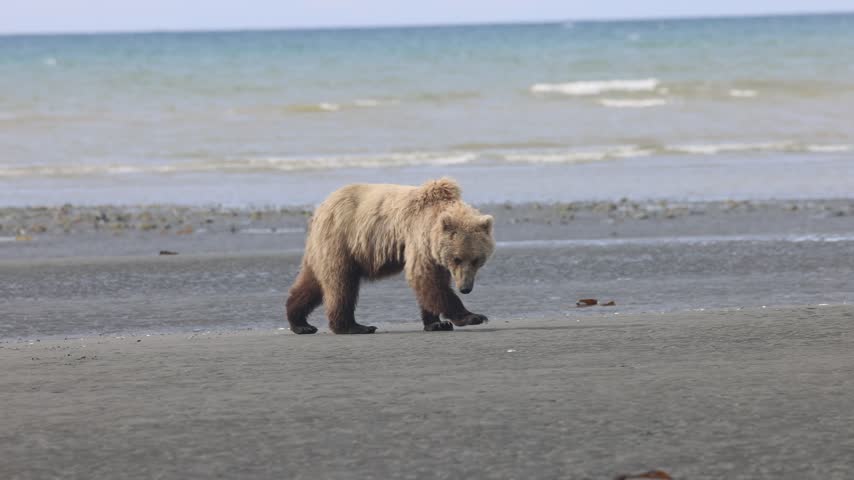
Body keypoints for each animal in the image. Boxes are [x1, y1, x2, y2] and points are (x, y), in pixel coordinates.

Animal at [285, 177, 495, 334]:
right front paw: (473, 316)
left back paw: (300, 322)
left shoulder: (433, 252)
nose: (465, 288)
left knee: (312, 283)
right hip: (341, 240)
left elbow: (432, 281)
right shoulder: (418, 238)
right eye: (457, 258)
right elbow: (425, 278)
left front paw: (437, 323)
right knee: (341, 283)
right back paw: (354, 326)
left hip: (324, 248)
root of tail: (321, 208)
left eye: (476, 260)